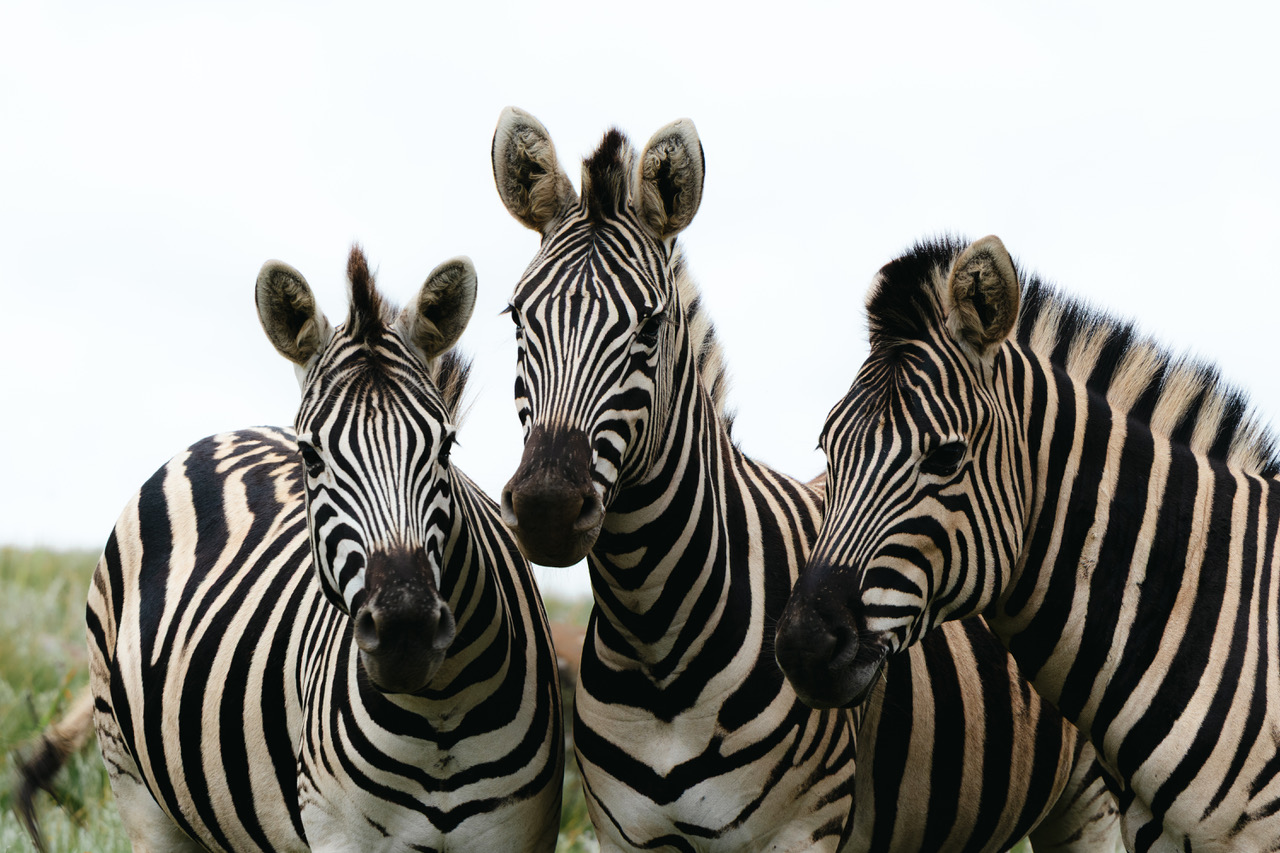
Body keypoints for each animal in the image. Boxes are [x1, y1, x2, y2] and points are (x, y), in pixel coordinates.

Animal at [77, 246, 562, 852]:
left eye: (446, 447)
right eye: (311, 456)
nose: (406, 629)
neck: (439, 718)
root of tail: (225, 434)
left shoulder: (517, 834)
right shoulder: (340, 835)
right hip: (133, 785)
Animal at [491, 107, 1119, 852]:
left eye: (649, 325)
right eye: (516, 317)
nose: (547, 506)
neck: (656, 640)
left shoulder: (800, 830)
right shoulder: (623, 833)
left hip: (1095, 797)